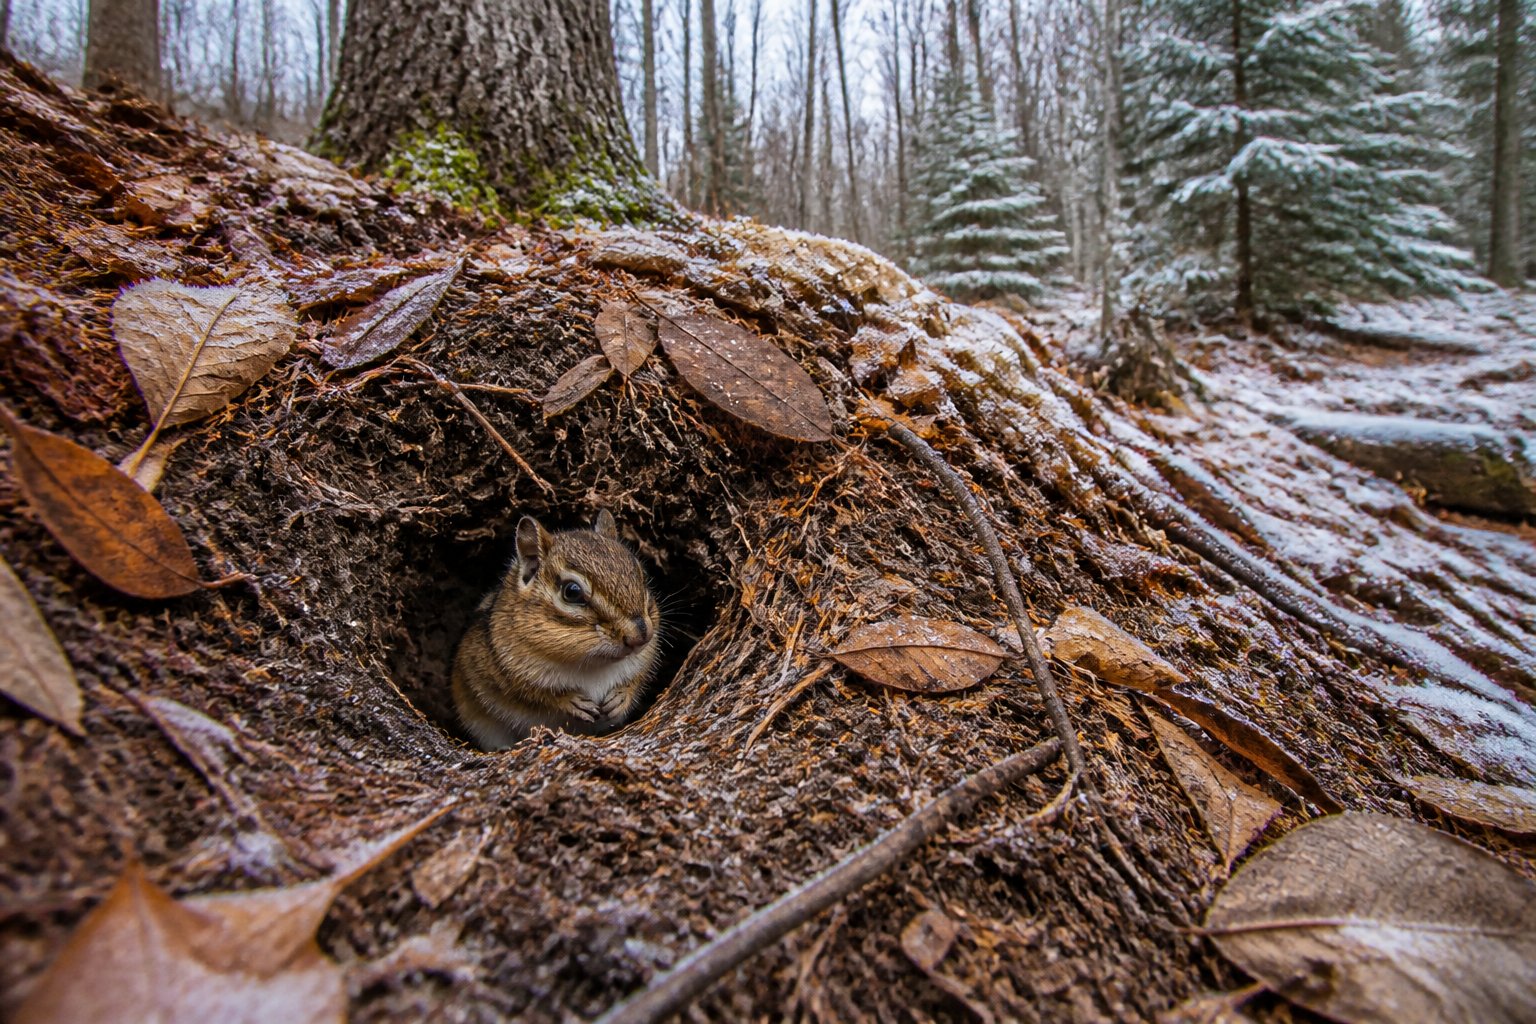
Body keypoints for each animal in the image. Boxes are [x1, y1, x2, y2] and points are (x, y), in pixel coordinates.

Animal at [451, 511, 661, 749]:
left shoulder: (645, 658)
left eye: (641, 574)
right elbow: (532, 693)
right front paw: (570, 700)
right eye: (572, 591)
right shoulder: (499, 669)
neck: (595, 664)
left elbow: (637, 679)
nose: (641, 635)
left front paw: (621, 697)